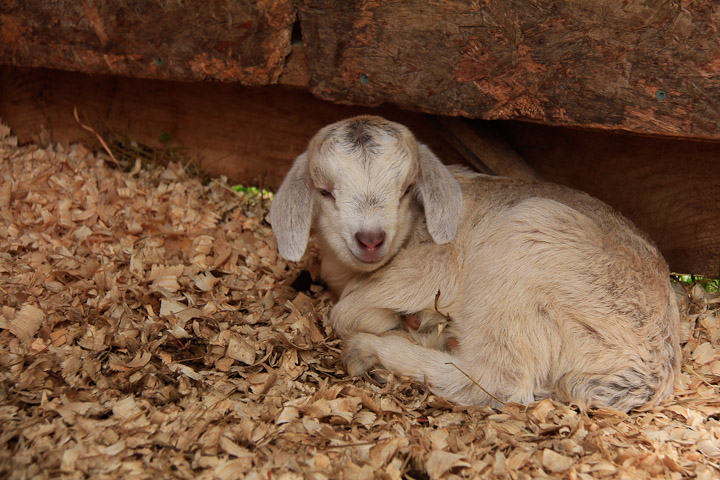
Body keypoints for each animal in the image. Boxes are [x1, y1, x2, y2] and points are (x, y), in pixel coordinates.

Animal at [269, 115, 681, 412]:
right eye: (324, 191)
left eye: (406, 190)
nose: (370, 239)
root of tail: (648, 371)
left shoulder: (433, 267)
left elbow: (344, 311)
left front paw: (393, 321)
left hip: (523, 245)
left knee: (496, 379)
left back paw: (372, 349)